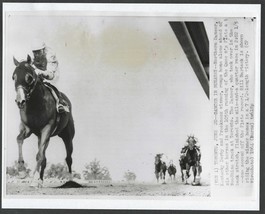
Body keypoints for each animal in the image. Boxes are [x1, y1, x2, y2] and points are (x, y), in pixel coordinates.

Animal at [12, 55, 74, 187]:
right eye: (13, 77)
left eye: (29, 77)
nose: (20, 101)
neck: (36, 104)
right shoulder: (28, 129)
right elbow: (19, 139)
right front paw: (21, 171)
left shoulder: (47, 128)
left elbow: (39, 155)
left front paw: (33, 180)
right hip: (42, 137)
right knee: (45, 157)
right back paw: (40, 180)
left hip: (67, 135)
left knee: (69, 158)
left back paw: (70, 180)